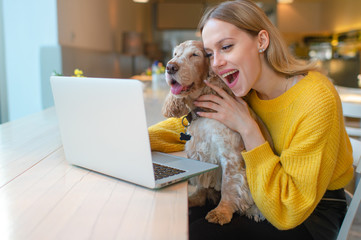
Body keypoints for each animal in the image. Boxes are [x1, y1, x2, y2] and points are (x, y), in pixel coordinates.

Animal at [161, 39, 272, 225]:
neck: (202, 113)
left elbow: (228, 185)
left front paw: (221, 212)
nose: (170, 67)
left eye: (195, 55)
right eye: (175, 54)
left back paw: (254, 211)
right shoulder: (198, 152)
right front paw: (196, 198)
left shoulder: (230, 156)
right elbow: (201, 182)